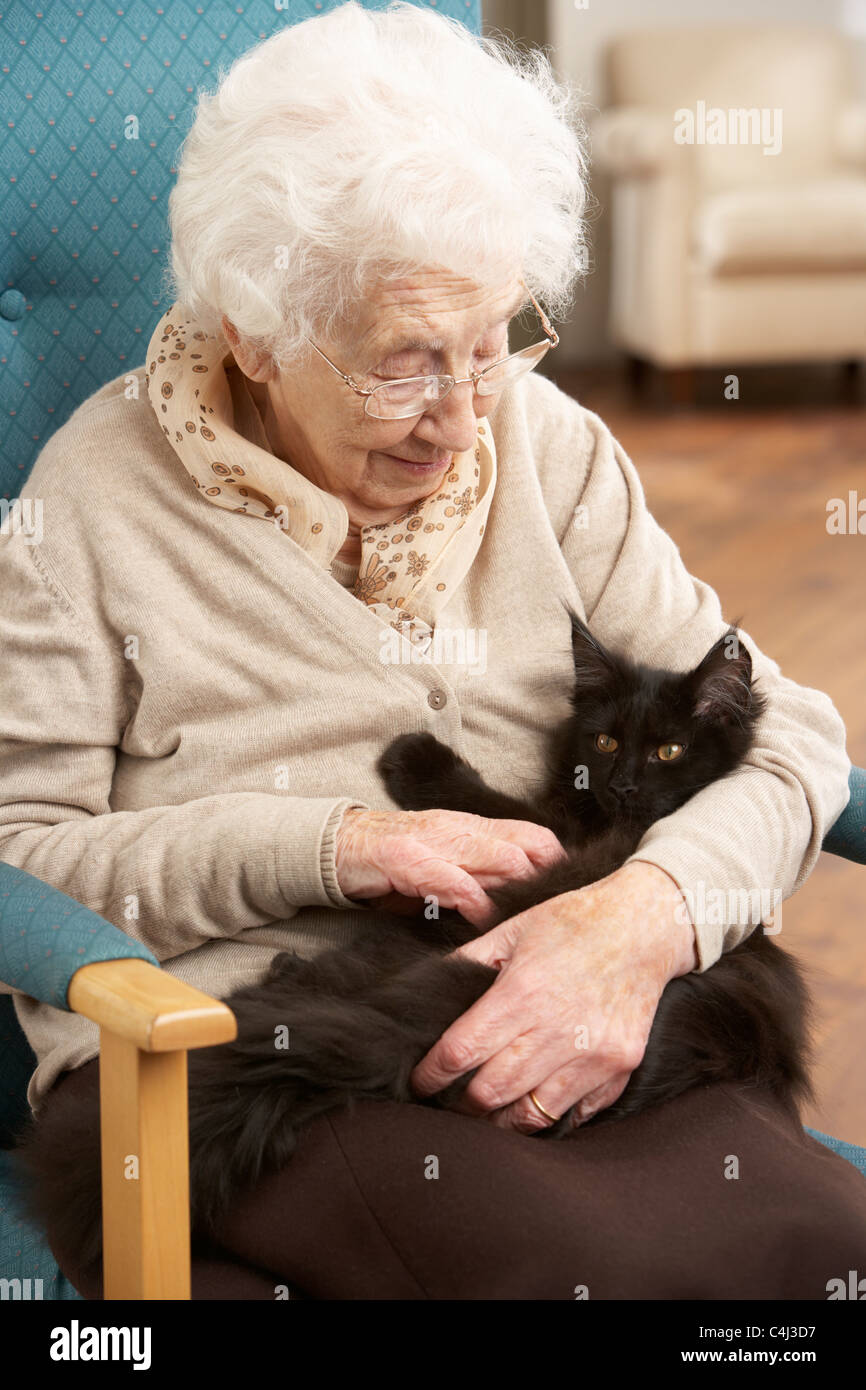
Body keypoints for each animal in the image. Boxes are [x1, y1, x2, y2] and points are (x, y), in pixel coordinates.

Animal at [15, 619, 811, 1273]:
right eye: (607, 740)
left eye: (670, 749)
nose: (619, 786)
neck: (607, 824)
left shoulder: (548, 839)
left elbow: (495, 807)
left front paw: (415, 756)